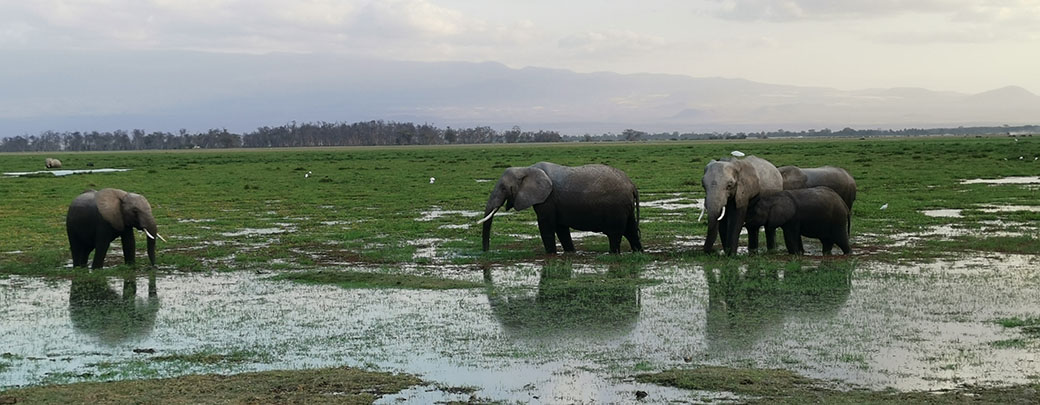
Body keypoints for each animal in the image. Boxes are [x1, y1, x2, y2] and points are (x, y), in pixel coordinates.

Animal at [480, 161, 640, 251]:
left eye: (503, 188)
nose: (486, 252)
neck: (526, 169)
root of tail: (632, 185)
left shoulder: (547, 199)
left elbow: (546, 227)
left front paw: (551, 255)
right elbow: (561, 229)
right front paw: (570, 253)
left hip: (616, 208)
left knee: (615, 234)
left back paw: (613, 254)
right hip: (626, 207)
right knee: (631, 231)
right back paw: (638, 252)